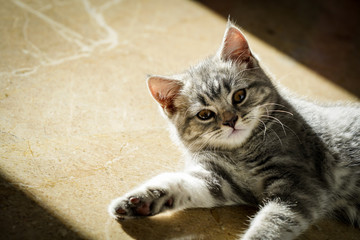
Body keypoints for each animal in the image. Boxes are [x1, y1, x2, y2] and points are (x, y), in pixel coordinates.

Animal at [109, 21, 360, 239]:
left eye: (239, 96)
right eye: (205, 115)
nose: (230, 121)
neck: (241, 153)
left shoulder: (300, 186)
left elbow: (272, 224)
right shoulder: (222, 181)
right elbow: (178, 182)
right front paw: (141, 200)